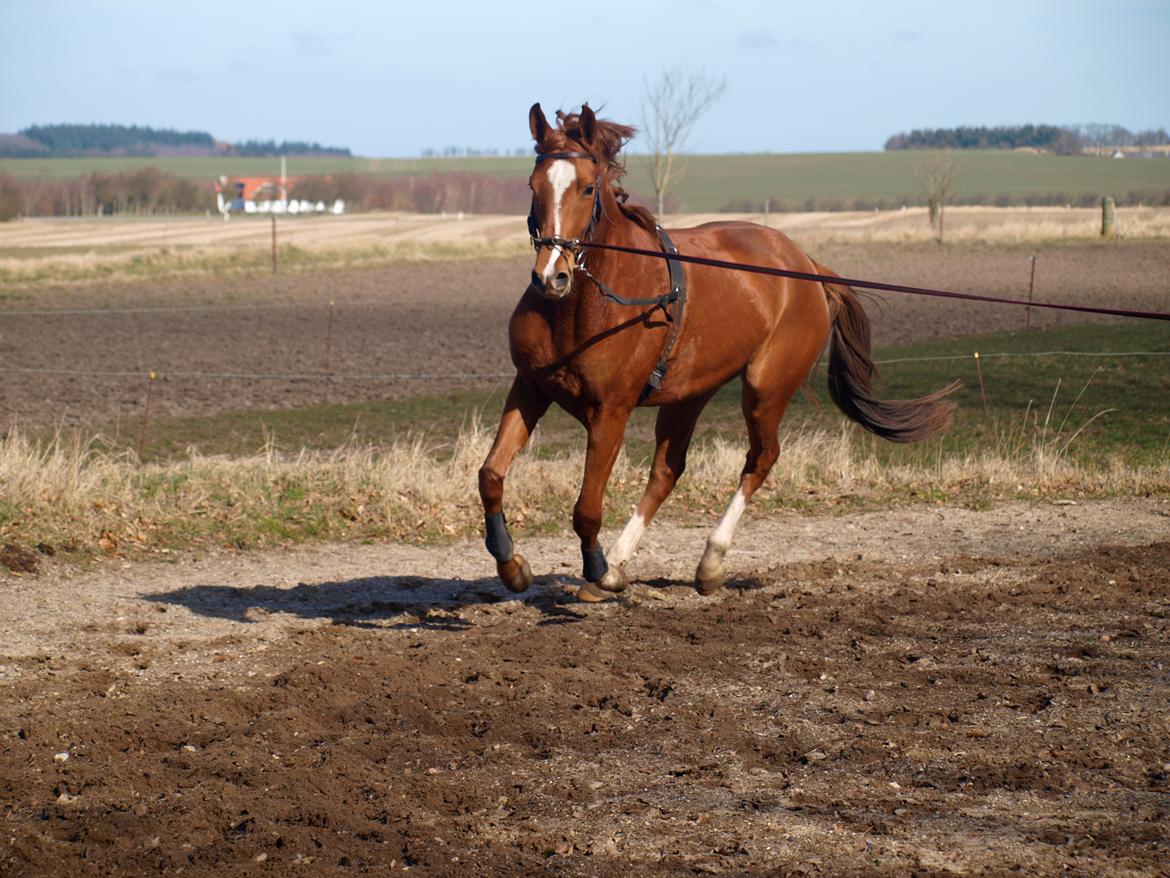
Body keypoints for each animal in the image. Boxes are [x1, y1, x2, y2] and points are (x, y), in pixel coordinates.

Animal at [479, 99, 954, 604]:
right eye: (533, 187)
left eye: (587, 188)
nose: (551, 276)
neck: (583, 306)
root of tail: (806, 266)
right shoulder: (530, 388)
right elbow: (490, 476)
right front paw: (513, 565)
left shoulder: (610, 412)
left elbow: (586, 508)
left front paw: (596, 568)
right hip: (690, 393)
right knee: (667, 471)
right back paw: (621, 565)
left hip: (765, 388)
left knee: (761, 458)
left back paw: (707, 561)